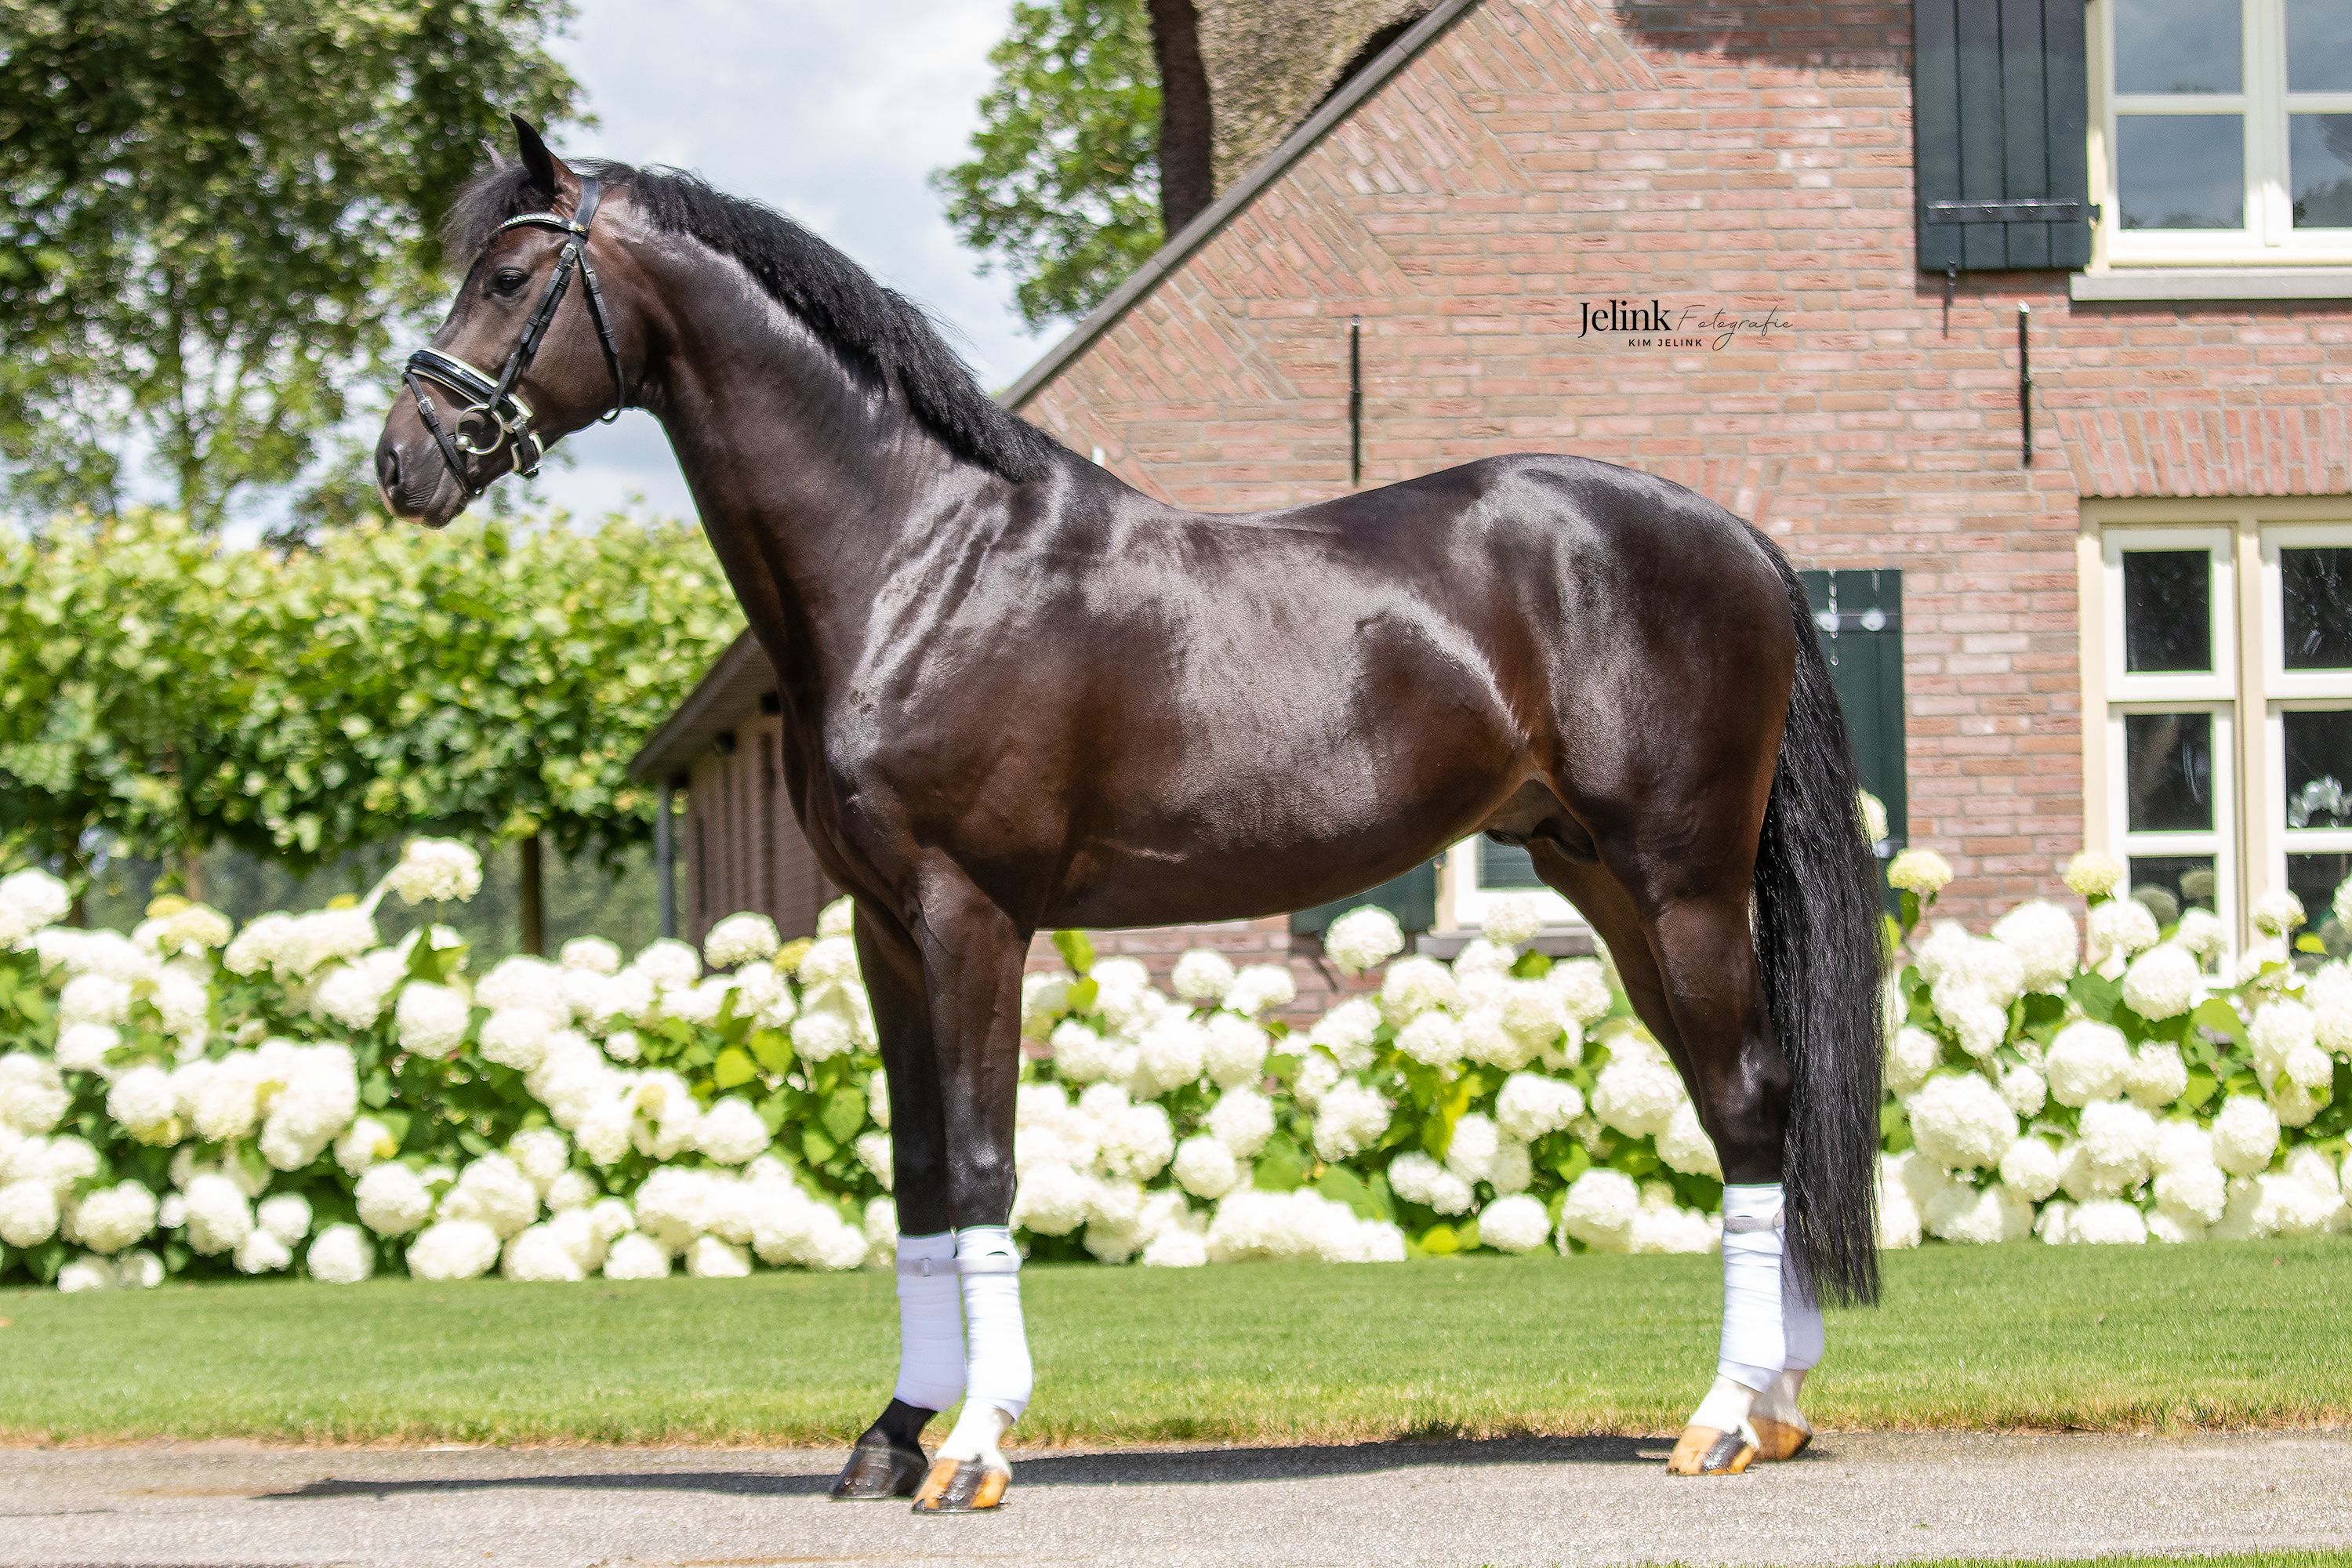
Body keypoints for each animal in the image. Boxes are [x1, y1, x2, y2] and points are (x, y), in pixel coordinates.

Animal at [376, 118, 1884, 1509]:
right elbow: (917, 1175)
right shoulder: (882, 927)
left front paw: (975, 1447)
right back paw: (1775, 1407)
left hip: (1681, 882)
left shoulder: (973, 915)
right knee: (1746, 1105)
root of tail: (1741, 542)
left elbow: (983, 1164)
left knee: (1749, 1102)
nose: (404, 463)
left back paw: (1723, 1417)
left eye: (508, 275)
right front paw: (892, 1434)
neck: (920, 557)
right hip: (1608, 886)